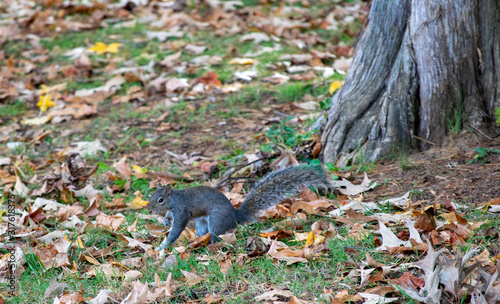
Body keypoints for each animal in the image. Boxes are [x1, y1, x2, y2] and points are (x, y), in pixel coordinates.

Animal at [149, 165, 336, 248]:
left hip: (216, 220)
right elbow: (169, 219)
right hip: (203, 223)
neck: (174, 201)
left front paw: (163, 246)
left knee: (216, 236)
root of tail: (236, 218)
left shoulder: (181, 211)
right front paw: (165, 221)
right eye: (151, 196)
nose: (149, 210)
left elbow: (177, 229)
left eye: (160, 200)